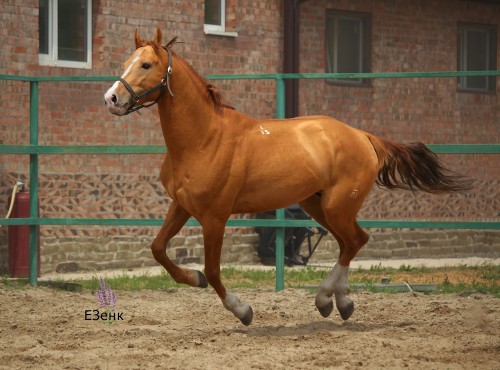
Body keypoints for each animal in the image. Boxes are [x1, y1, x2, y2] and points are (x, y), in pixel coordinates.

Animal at [103, 28, 470, 324]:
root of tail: (363, 136)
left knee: (353, 241)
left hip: (336, 207)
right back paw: (339, 303)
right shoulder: (181, 206)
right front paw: (193, 278)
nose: (112, 98)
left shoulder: (214, 217)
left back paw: (327, 300)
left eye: (146, 65)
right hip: (316, 205)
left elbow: (214, 270)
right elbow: (158, 249)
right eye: (127, 61)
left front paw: (243, 310)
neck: (204, 139)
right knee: (352, 242)